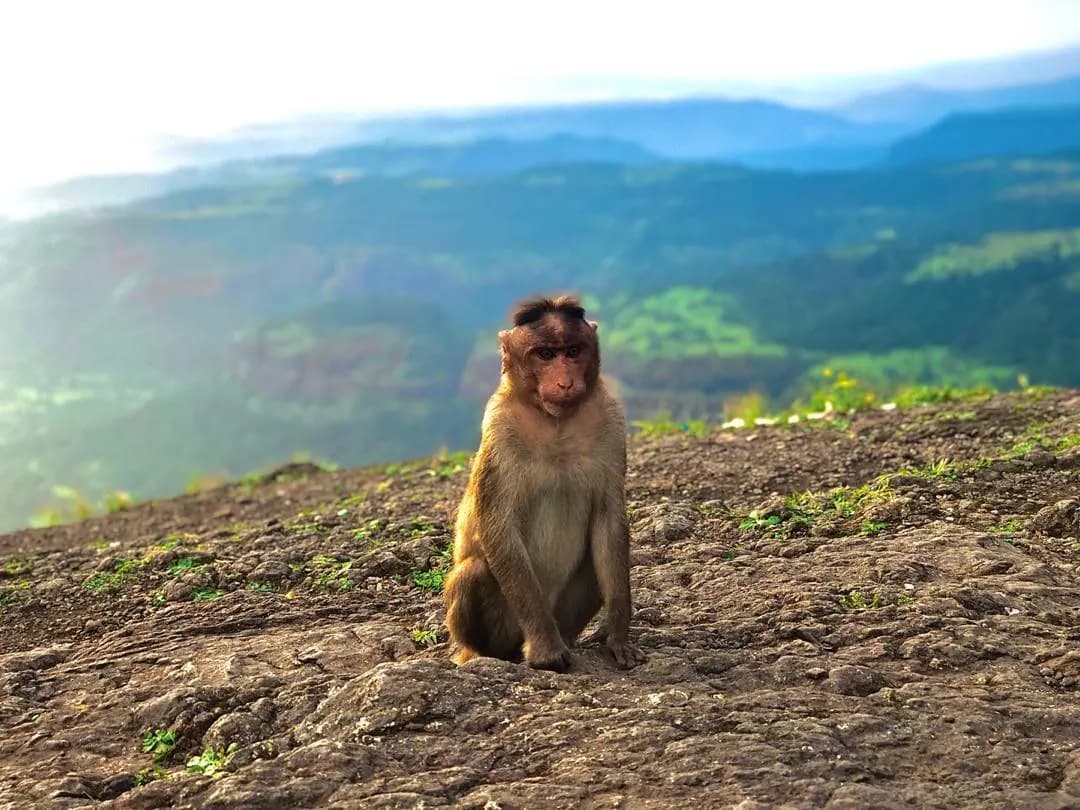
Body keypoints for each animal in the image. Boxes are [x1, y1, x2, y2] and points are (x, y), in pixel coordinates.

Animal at [443, 294, 646, 672]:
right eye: (546, 354)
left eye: (573, 351)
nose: (565, 382)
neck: (555, 422)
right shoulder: (499, 427)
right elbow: (499, 528)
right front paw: (546, 649)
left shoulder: (610, 418)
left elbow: (609, 521)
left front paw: (617, 635)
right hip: (506, 626)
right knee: (473, 572)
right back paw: (490, 654)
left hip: (566, 615)